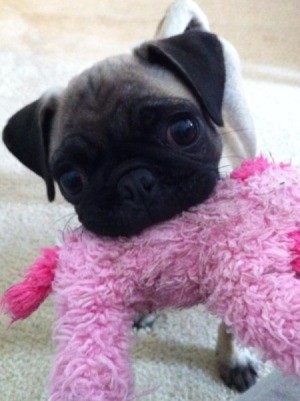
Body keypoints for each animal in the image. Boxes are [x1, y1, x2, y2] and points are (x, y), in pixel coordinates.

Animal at [1, 0, 258, 392]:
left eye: (184, 130)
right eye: (72, 180)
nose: (135, 181)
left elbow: (232, 320)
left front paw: (234, 357)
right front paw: (148, 309)